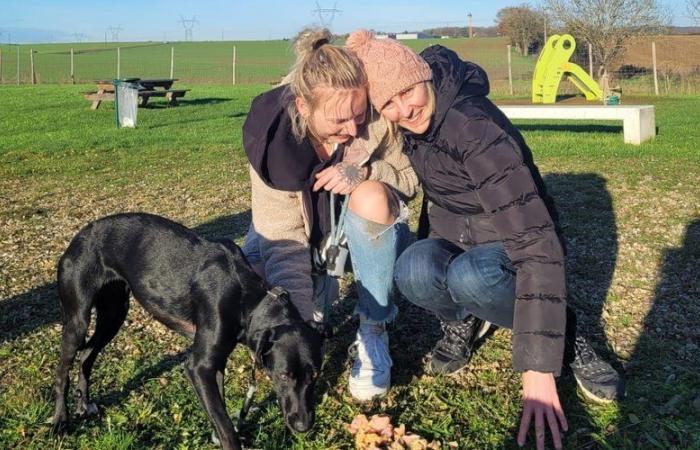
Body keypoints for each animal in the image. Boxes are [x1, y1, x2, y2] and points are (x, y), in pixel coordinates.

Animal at [50, 214, 324, 450]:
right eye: (283, 376)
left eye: (315, 375)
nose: (303, 426)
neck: (249, 301)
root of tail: (79, 236)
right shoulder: (198, 367)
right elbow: (226, 427)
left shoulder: (216, 363)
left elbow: (220, 410)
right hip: (77, 320)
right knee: (62, 371)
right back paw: (60, 421)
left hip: (113, 315)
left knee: (87, 354)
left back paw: (84, 404)